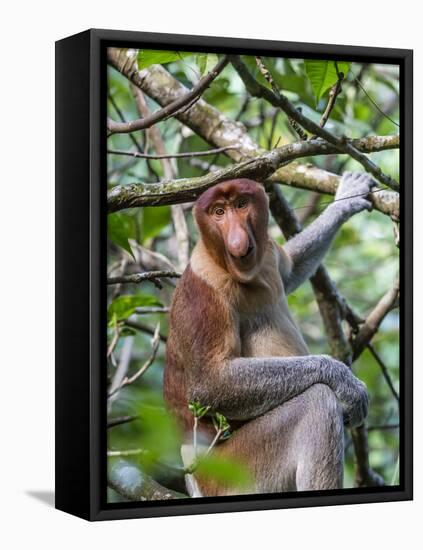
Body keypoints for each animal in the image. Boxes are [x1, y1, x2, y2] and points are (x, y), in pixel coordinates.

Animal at [166, 174, 374, 500]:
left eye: (241, 204)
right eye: (218, 212)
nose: (237, 241)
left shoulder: (270, 256)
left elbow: (290, 269)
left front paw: (347, 198)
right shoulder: (204, 296)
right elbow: (210, 384)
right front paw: (344, 381)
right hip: (233, 472)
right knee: (316, 403)